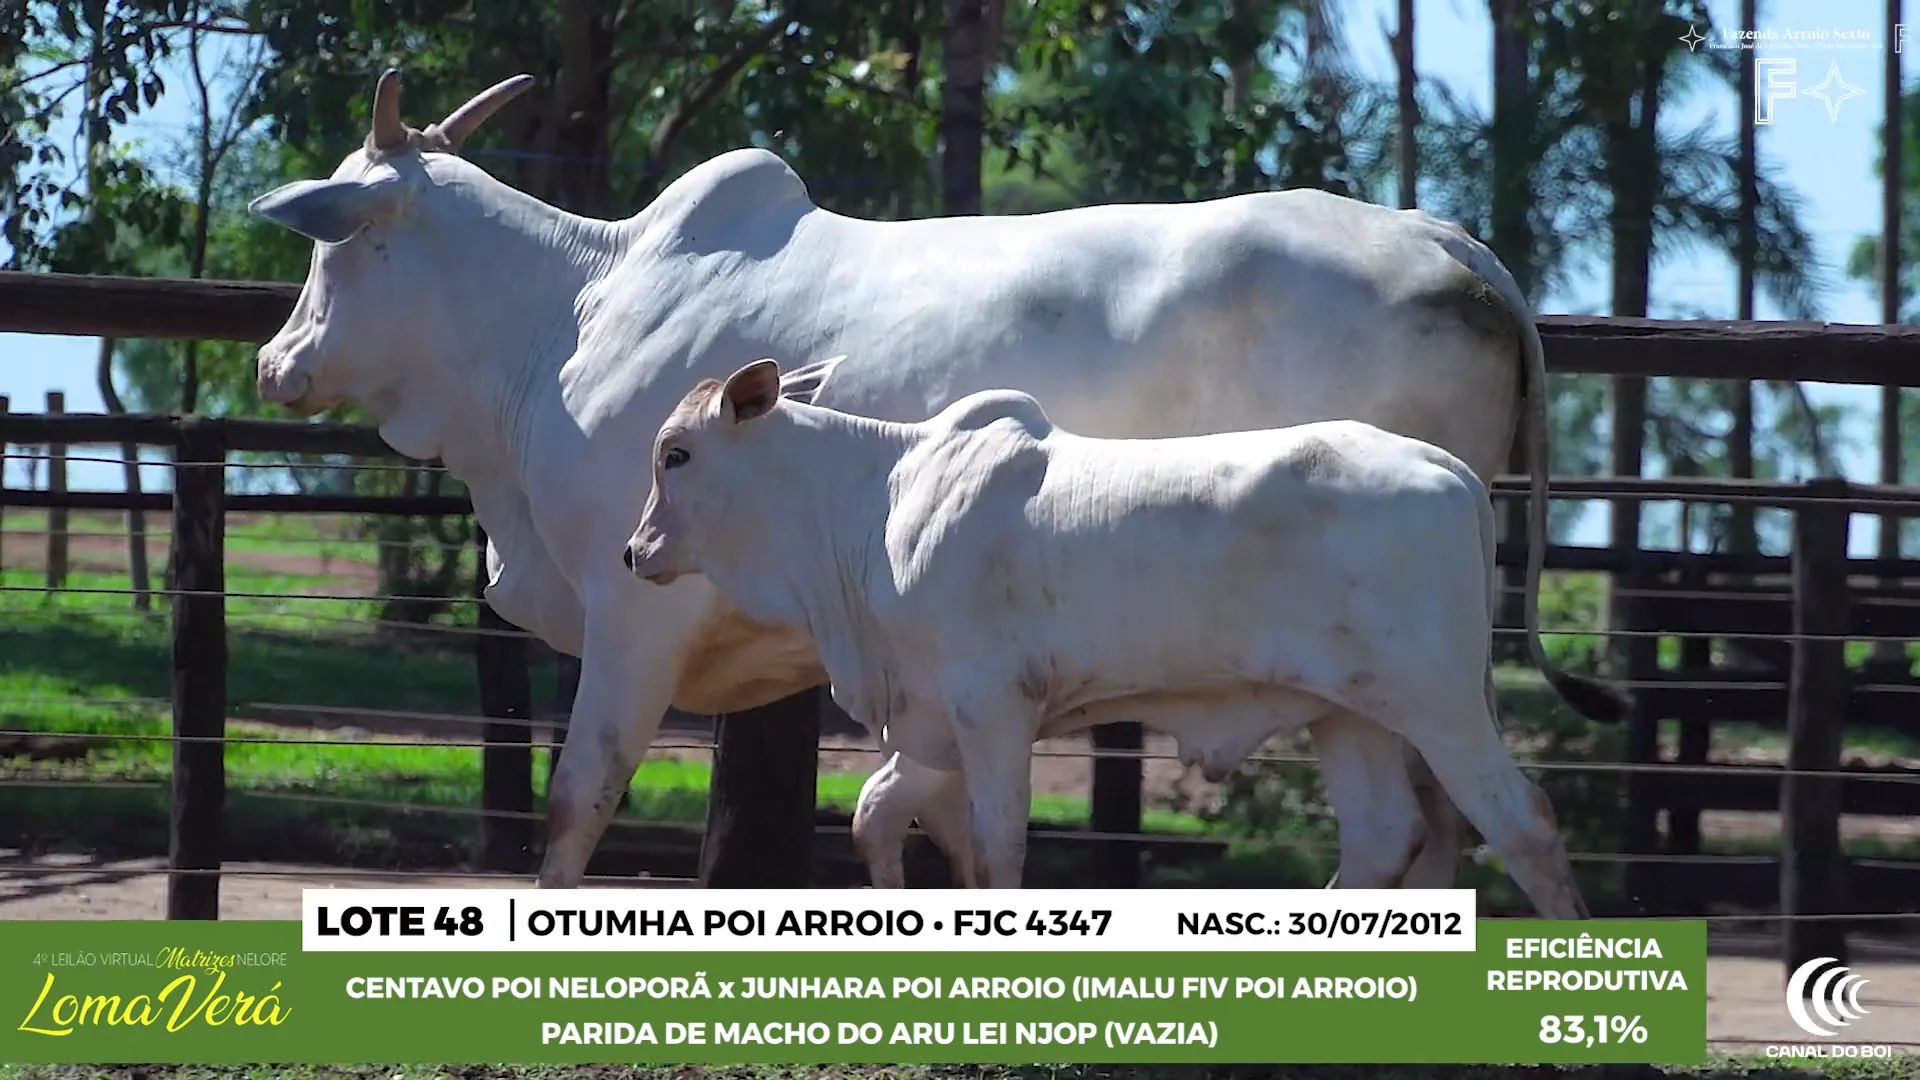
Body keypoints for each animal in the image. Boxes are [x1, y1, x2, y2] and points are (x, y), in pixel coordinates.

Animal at [625, 357, 1589, 910]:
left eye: (676, 453)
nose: (634, 552)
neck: (876, 501)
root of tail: (1452, 470)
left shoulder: (991, 706)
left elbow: (998, 843)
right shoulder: (931, 720)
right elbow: (879, 817)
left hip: (1439, 703)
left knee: (1527, 825)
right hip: (1348, 711)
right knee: (1386, 837)